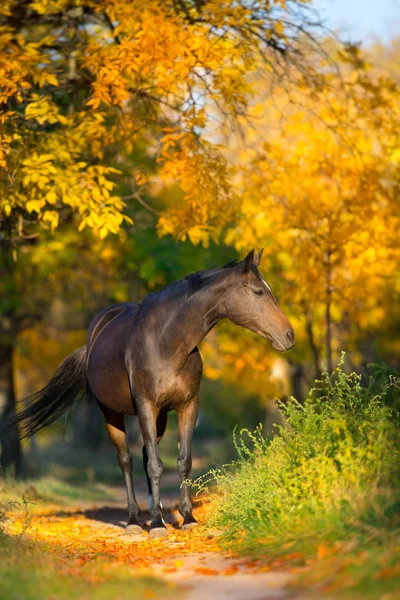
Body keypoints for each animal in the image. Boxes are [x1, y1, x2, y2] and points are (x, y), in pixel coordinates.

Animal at [6, 248, 294, 540]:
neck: (167, 342)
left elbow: (182, 461)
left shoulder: (188, 406)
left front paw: (187, 517)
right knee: (126, 460)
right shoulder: (145, 406)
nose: (289, 335)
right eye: (258, 292)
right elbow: (155, 464)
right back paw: (134, 520)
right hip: (113, 413)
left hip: (161, 418)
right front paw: (156, 524)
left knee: (145, 456)